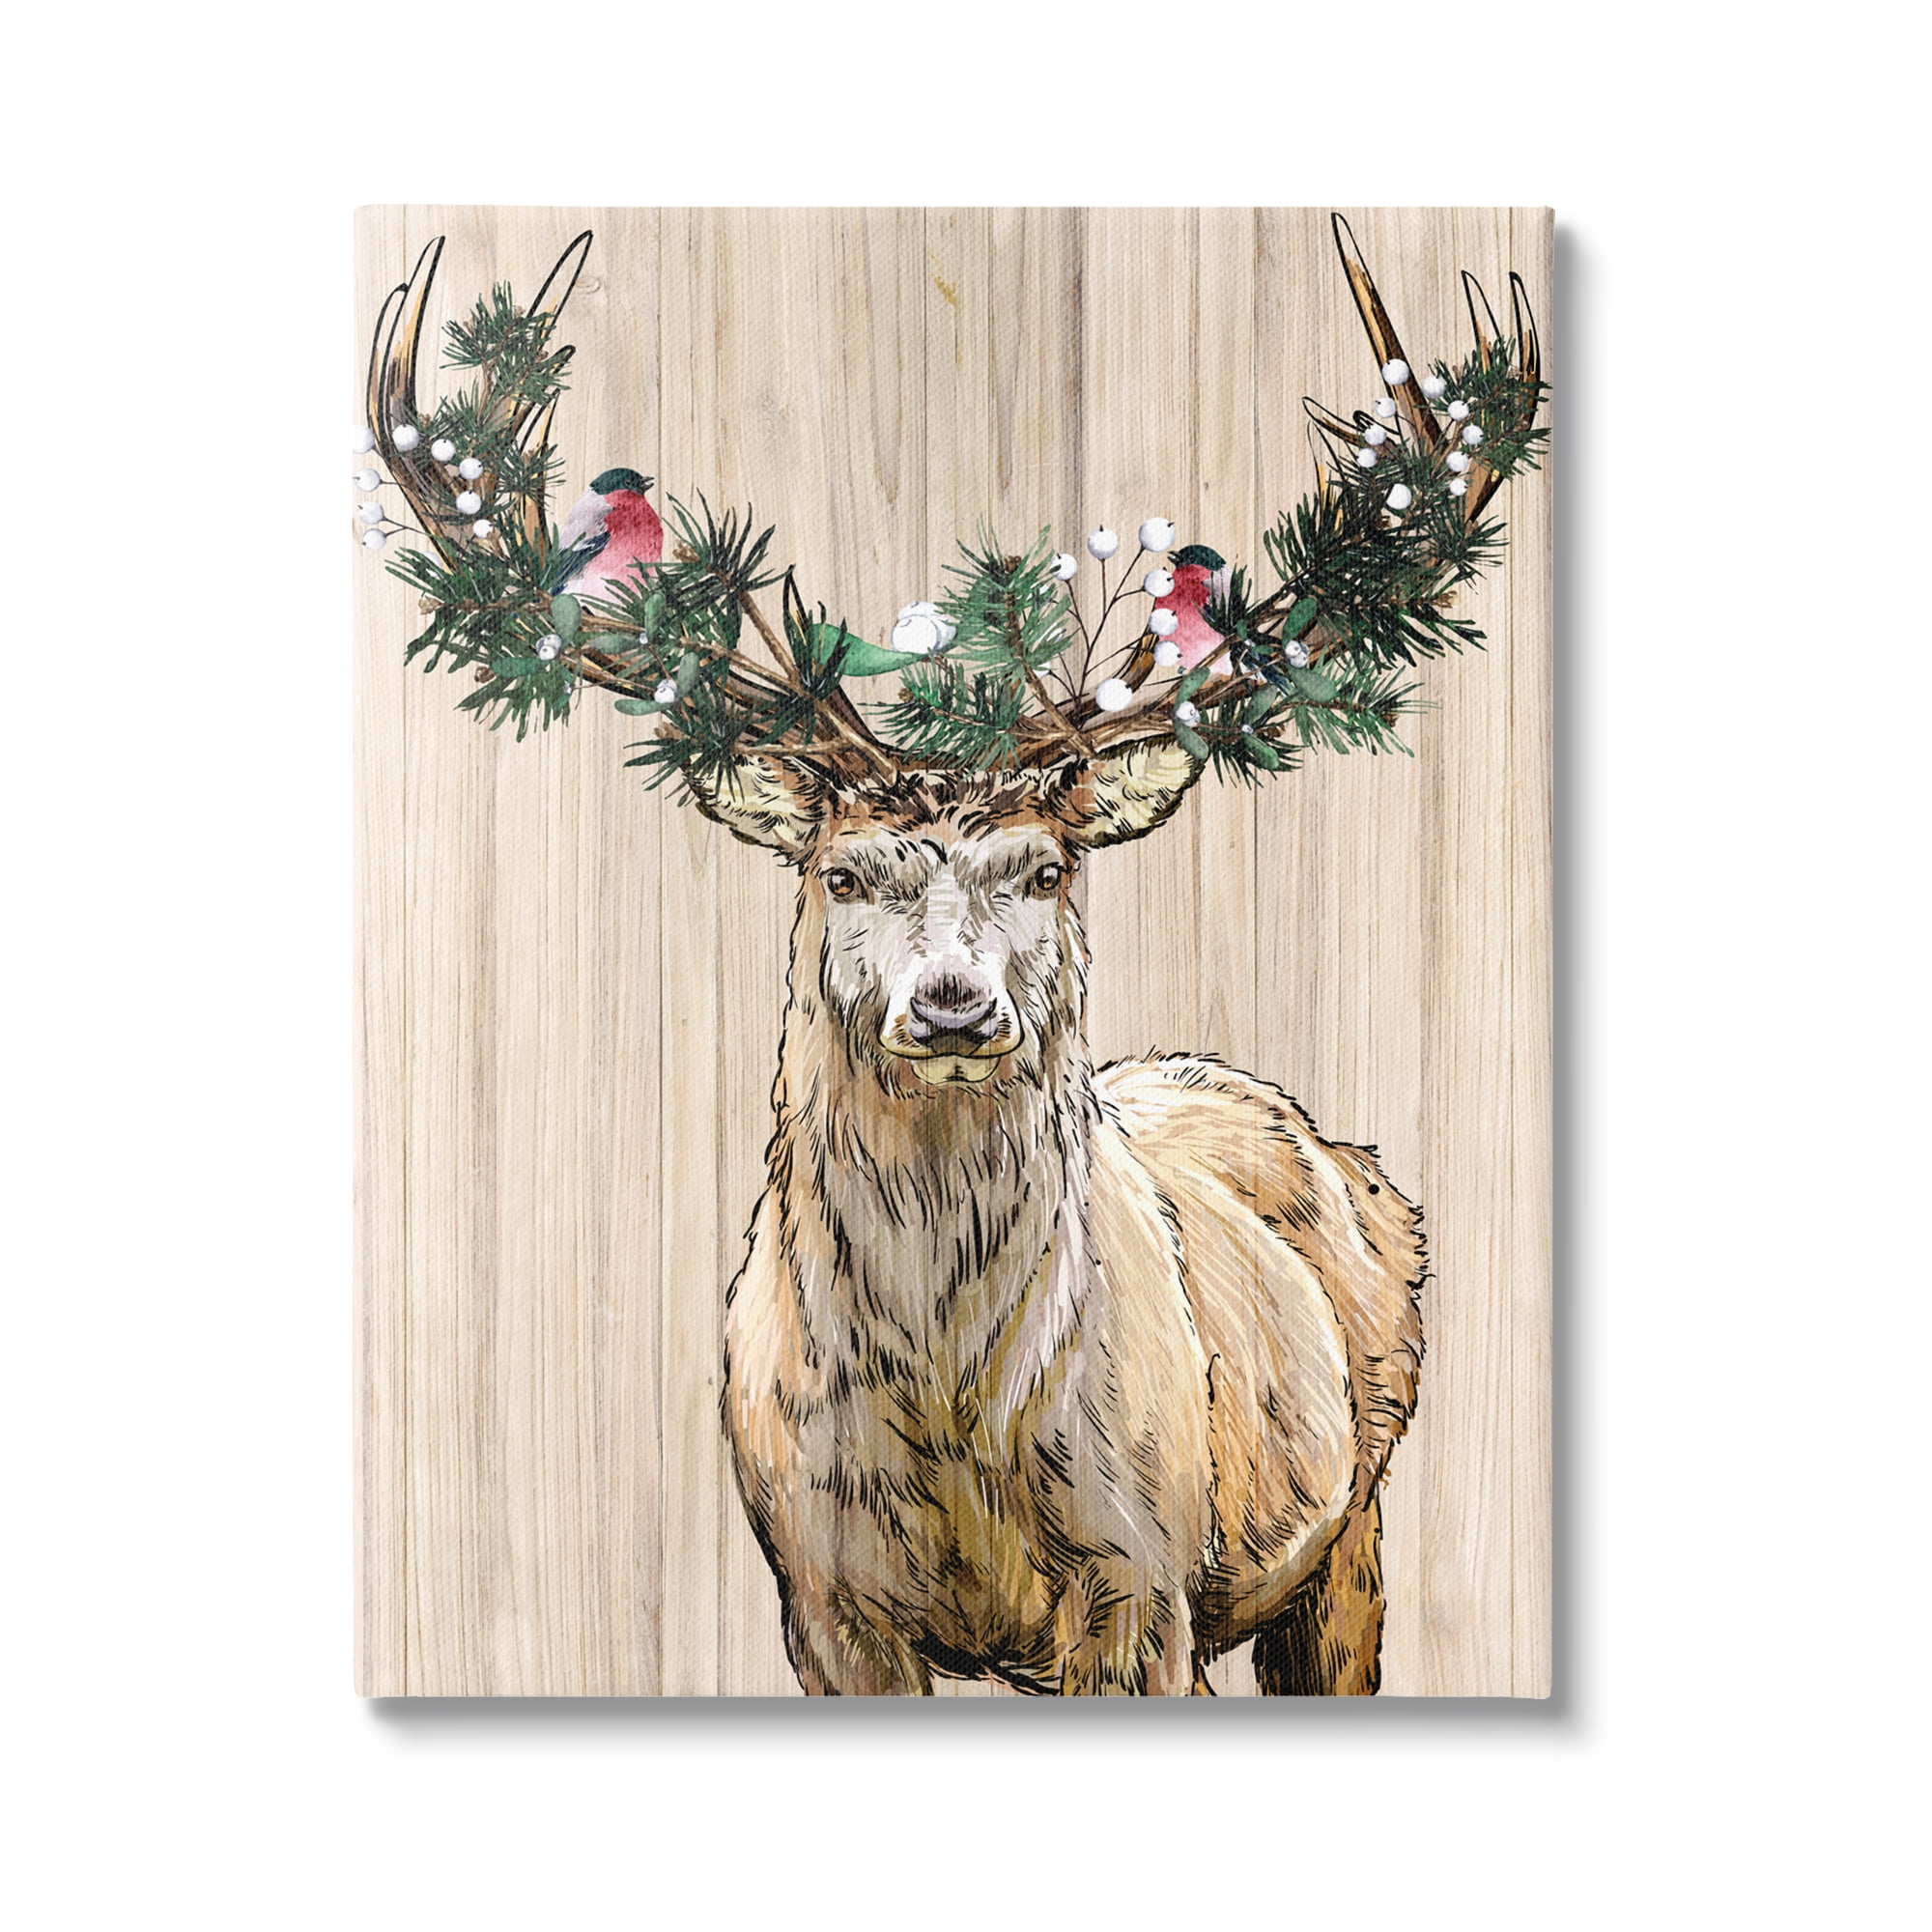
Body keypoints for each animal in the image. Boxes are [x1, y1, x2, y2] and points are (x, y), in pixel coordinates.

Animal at [362, 214, 1546, 1695]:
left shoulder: (1145, 1574)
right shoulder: (819, 1589)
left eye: (1044, 868)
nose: (950, 1005)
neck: (952, 1422)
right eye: (842, 872)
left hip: (1350, 1527)